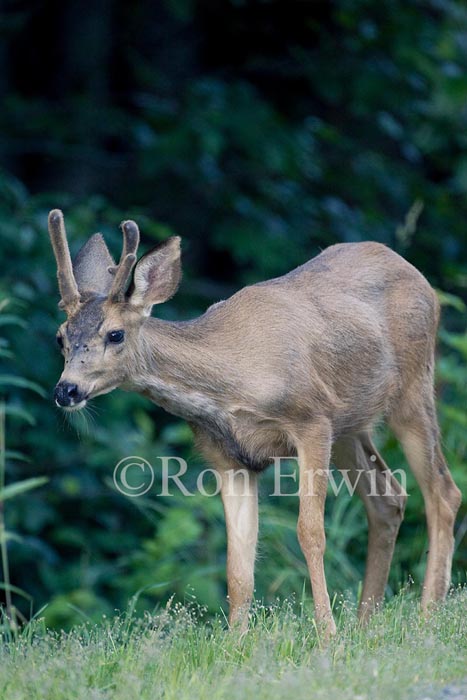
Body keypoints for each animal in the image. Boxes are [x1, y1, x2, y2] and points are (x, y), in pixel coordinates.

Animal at [47, 209, 460, 640]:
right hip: (350, 423)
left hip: (412, 385)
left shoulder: (311, 420)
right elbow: (237, 563)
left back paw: (427, 614)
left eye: (115, 334)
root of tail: (416, 274)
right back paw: (366, 623)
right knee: (388, 497)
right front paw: (235, 642)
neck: (233, 381)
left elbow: (310, 532)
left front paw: (327, 635)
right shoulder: (228, 457)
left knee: (443, 492)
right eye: (60, 337)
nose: (66, 390)